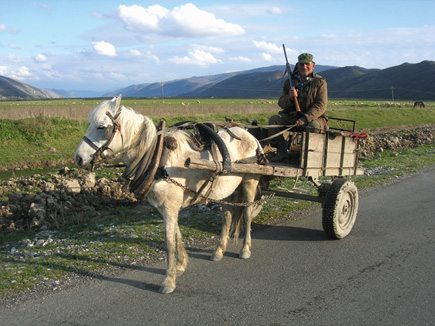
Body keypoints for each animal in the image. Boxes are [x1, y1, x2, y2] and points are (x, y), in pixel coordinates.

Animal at [74, 95, 264, 294]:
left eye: (101, 127)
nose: (78, 158)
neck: (158, 159)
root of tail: (250, 135)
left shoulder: (170, 206)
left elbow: (169, 242)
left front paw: (169, 280)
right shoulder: (167, 207)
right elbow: (177, 235)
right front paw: (181, 265)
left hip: (250, 182)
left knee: (247, 214)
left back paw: (245, 249)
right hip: (227, 189)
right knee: (227, 216)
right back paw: (219, 250)